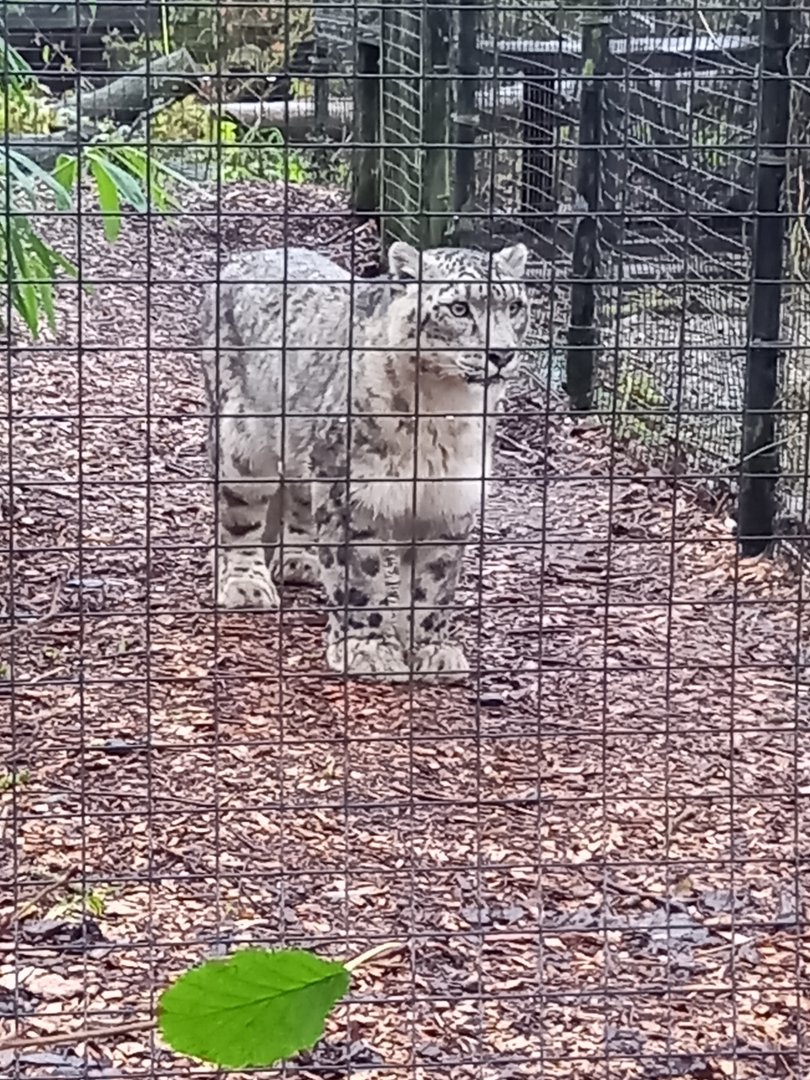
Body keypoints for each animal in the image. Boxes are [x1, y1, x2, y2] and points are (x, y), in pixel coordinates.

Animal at [199, 239, 531, 682]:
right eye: (459, 308)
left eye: (515, 306)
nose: (502, 354)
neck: (443, 413)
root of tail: (251, 255)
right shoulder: (351, 495)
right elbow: (359, 577)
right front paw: (369, 650)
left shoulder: (449, 500)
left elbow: (434, 584)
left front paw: (433, 651)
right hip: (244, 445)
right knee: (239, 515)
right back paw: (246, 583)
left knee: (299, 502)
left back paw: (299, 561)